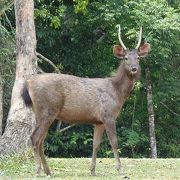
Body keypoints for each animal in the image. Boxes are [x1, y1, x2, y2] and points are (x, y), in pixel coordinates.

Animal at [21, 24, 150, 176]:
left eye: (138, 57)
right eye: (125, 58)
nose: (134, 68)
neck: (117, 92)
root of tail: (29, 83)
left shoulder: (99, 121)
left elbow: (95, 144)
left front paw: (92, 170)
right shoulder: (108, 115)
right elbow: (114, 142)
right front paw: (121, 171)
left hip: (40, 112)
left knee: (41, 139)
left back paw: (48, 171)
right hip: (47, 110)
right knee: (35, 138)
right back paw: (38, 170)